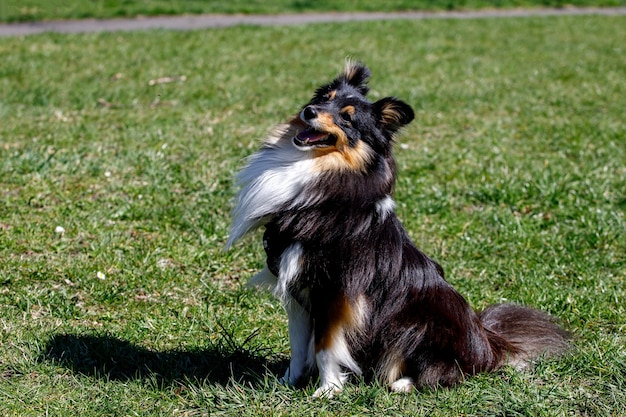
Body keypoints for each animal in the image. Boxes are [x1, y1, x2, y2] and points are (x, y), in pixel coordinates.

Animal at [227, 60, 568, 394]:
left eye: (348, 119)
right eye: (324, 98)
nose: (309, 111)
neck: (317, 171)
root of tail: (490, 345)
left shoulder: (336, 289)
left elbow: (325, 346)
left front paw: (327, 390)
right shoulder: (297, 284)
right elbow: (299, 345)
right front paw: (287, 382)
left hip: (416, 325)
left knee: (450, 372)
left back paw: (404, 383)